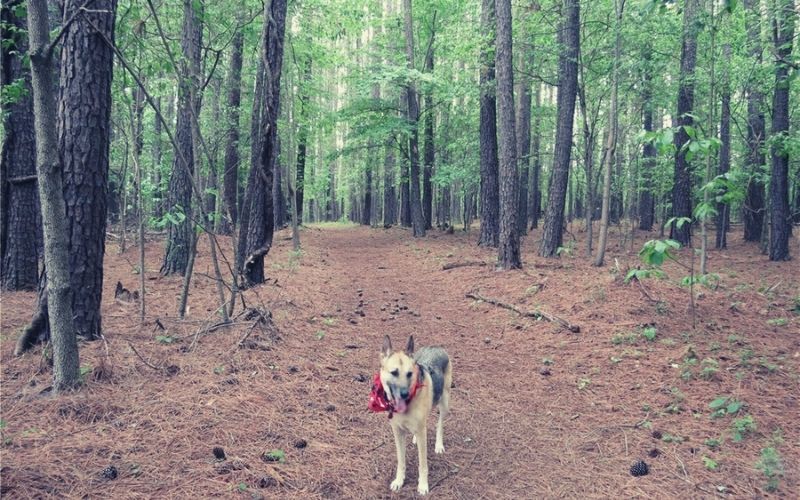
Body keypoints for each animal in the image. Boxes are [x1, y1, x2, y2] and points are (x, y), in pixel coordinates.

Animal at [380, 334, 454, 494]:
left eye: (409, 374)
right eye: (394, 373)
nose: (404, 394)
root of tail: (435, 346)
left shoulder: (421, 433)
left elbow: (423, 465)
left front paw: (423, 485)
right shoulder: (398, 432)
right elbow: (401, 461)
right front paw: (399, 481)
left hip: (444, 402)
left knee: (440, 424)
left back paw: (439, 445)